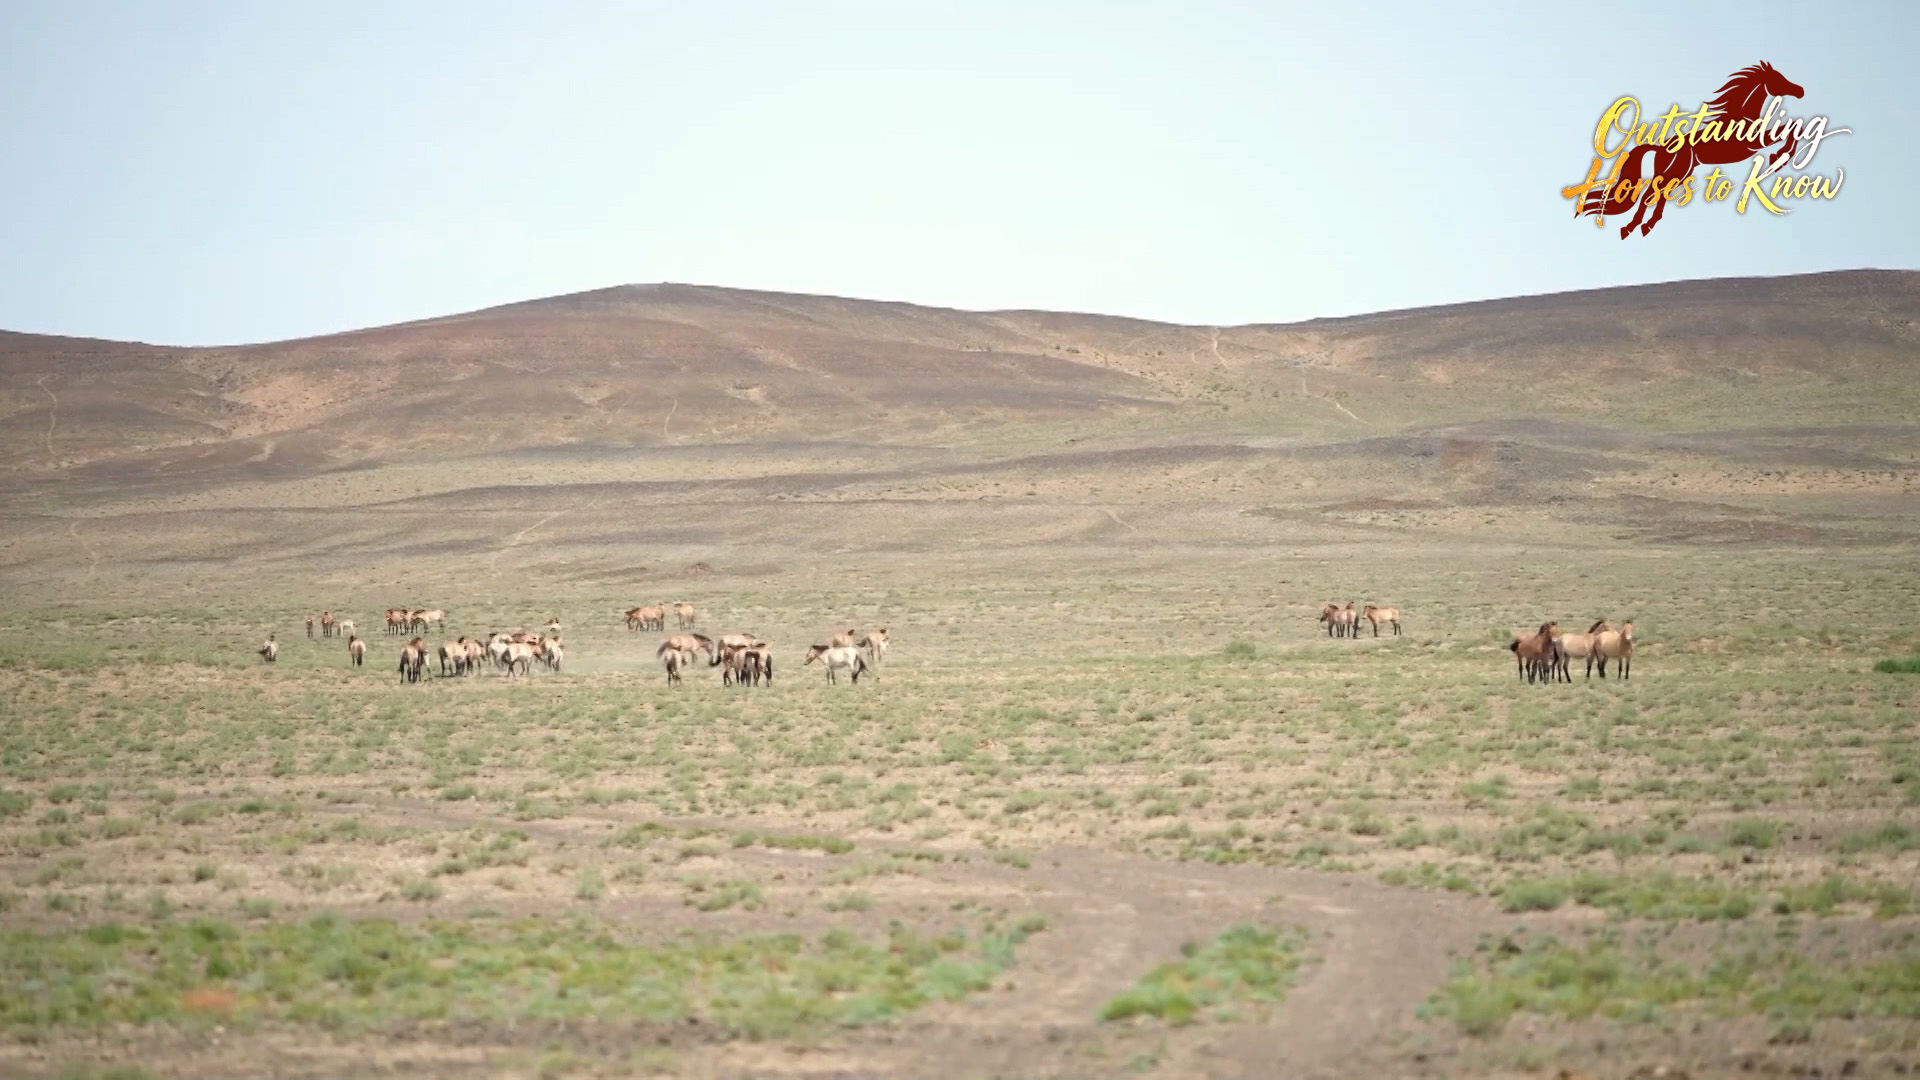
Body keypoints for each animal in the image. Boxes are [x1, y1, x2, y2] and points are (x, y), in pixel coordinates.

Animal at [1578, 61, 1807, 239]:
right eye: (1779, 78)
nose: (1801, 91)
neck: (1741, 115)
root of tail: (1661, 147)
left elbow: (1792, 128)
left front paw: (1779, 157)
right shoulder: (1753, 144)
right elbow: (1788, 129)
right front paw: (1778, 157)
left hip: (1678, 174)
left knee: (1659, 195)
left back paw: (1646, 226)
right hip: (1672, 172)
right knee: (1648, 196)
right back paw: (1630, 228)